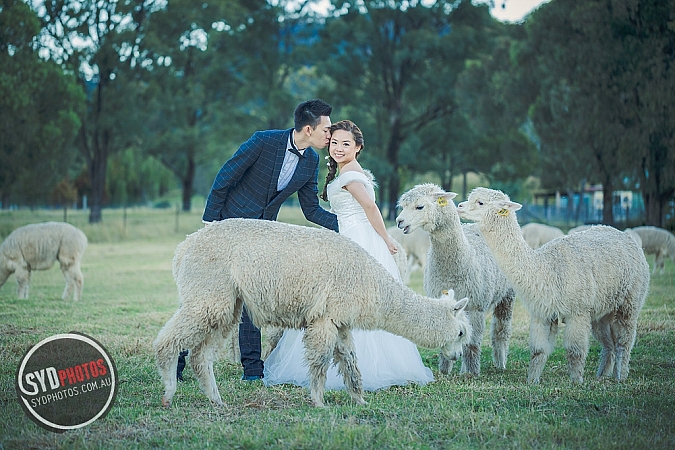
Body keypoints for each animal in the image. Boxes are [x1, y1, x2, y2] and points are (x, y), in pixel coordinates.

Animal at [153, 218, 470, 408]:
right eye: (461, 333)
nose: (456, 356)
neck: (372, 283)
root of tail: (182, 248)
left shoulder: (341, 320)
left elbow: (350, 361)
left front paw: (359, 399)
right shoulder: (324, 318)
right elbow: (320, 360)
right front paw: (318, 401)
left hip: (225, 303)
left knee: (200, 355)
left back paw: (216, 400)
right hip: (208, 292)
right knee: (169, 341)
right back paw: (169, 391)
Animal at [396, 183, 516, 376]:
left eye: (419, 206)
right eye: (403, 206)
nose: (400, 222)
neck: (452, 270)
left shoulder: (476, 305)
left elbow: (473, 343)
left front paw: (472, 373)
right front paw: (445, 371)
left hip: (507, 295)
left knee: (501, 331)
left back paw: (500, 363)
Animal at [456, 186, 652, 384]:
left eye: (480, 202)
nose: (460, 206)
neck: (547, 269)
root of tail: (623, 235)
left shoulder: (578, 312)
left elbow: (575, 351)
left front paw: (576, 382)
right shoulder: (542, 314)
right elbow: (538, 351)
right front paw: (532, 382)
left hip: (630, 300)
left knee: (624, 341)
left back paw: (620, 376)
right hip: (602, 310)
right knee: (608, 343)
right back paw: (603, 375)